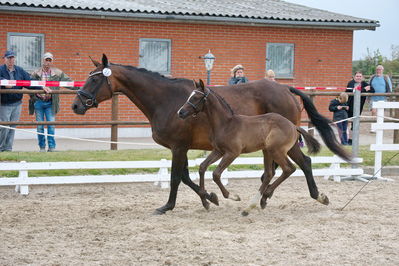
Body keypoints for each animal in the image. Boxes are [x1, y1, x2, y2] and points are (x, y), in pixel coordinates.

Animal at [180, 79, 324, 214]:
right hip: (268, 151)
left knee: (289, 168)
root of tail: (293, 126)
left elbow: (216, 174)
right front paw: (209, 198)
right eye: (189, 96)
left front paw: (232, 196)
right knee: (270, 173)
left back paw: (261, 198)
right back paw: (258, 201)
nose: (180, 112)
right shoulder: (218, 151)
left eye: (196, 97)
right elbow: (202, 167)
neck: (226, 123)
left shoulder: (232, 153)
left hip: (276, 150)